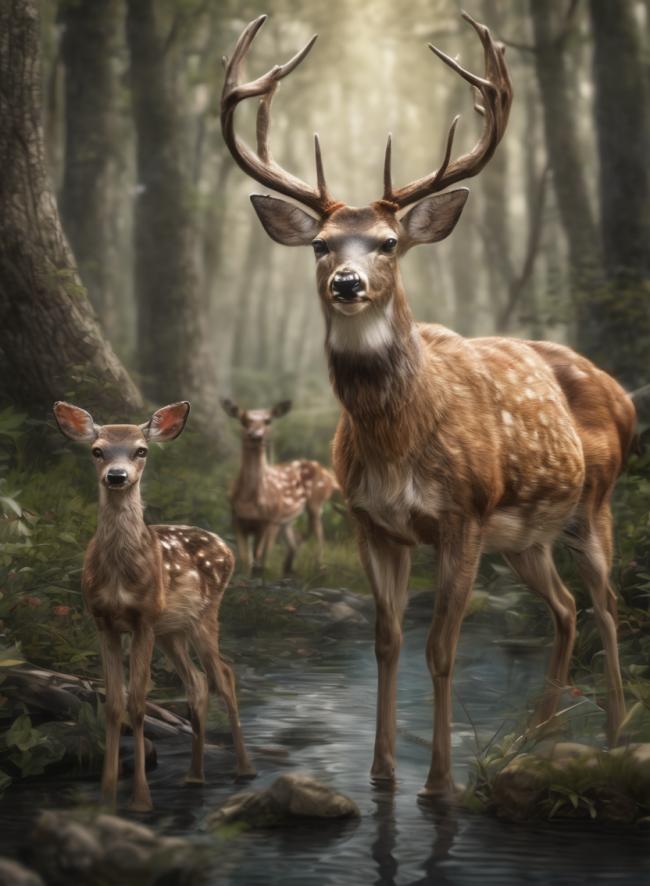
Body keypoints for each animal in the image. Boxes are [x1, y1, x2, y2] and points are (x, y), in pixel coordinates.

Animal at [53, 400, 255, 811]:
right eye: (97, 450)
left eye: (140, 450)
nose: (116, 476)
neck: (119, 575)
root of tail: (226, 549)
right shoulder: (103, 621)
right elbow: (114, 704)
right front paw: (107, 795)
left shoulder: (143, 619)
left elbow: (138, 702)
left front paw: (141, 800)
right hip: (171, 630)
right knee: (197, 682)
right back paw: (194, 776)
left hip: (203, 615)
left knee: (224, 676)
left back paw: (244, 770)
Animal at [221, 398, 337, 575]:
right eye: (244, 420)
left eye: (268, 420)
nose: (256, 436)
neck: (249, 502)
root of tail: (329, 475)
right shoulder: (237, 519)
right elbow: (246, 559)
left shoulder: (269, 520)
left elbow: (259, 557)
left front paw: (258, 577)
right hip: (287, 520)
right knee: (294, 542)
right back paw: (288, 570)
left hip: (315, 503)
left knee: (318, 537)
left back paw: (319, 570)